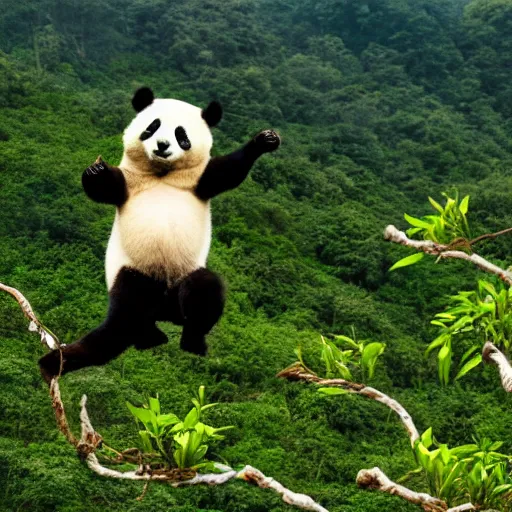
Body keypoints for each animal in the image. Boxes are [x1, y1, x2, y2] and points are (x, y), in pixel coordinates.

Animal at [39, 88, 280, 382]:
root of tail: (165, 311)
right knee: (124, 319)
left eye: (181, 135)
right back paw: (58, 362)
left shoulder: (199, 180)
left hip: (181, 275)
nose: (163, 145)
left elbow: (227, 171)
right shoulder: (129, 182)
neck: (162, 174)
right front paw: (96, 170)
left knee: (203, 292)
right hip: (136, 273)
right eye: (152, 127)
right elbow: (101, 189)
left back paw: (191, 342)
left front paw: (265, 140)